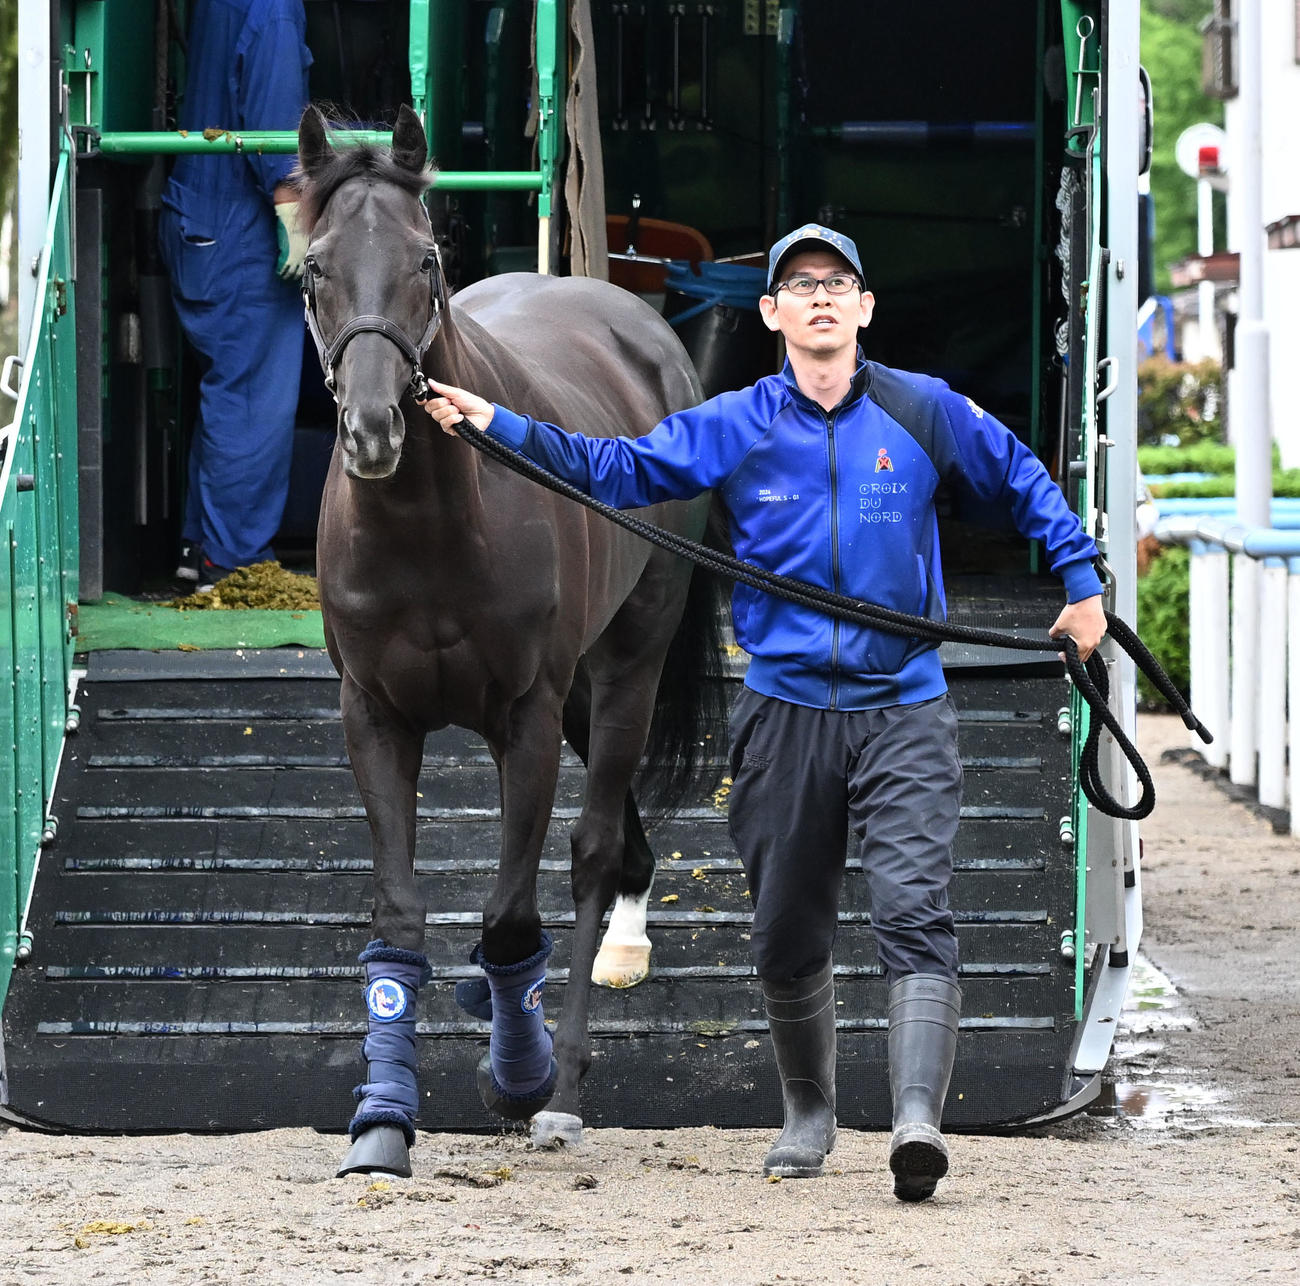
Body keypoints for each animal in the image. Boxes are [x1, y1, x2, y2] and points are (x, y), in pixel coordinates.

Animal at [296, 104, 724, 1177]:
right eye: (315, 268)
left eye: (426, 260)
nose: (372, 431)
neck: (432, 524)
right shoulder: (375, 717)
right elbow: (401, 917)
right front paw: (383, 1119)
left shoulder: (523, 718)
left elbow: (510, 911)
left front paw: (520, 1075)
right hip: (578, 690)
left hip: (625, 666)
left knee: (594, 847)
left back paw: (562, 1075)